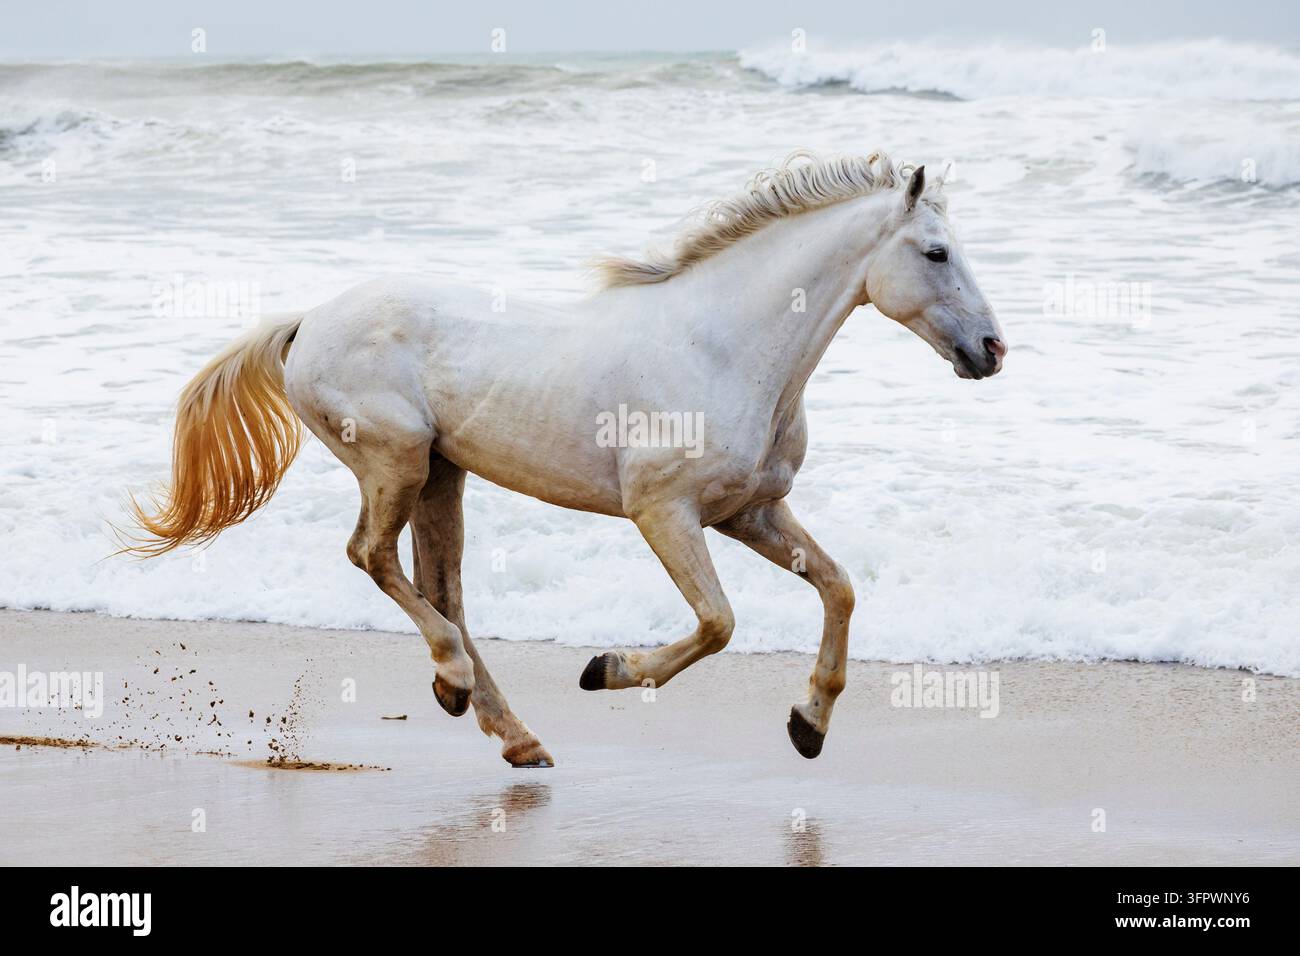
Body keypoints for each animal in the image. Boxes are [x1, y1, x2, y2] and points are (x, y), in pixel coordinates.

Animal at [123, 151, 1006, 767]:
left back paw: (504, 728)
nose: (992, 350)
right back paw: (457, 682)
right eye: (936, 253)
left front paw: (808, 724)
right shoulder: (664, 513)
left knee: (441, 589)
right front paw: (606, 669)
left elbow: (839, 588)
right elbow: (718, 623)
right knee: (373, 557)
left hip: (442, 473)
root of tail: (309, 321)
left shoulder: (750, 512)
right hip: (395, 461)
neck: (724, 350)